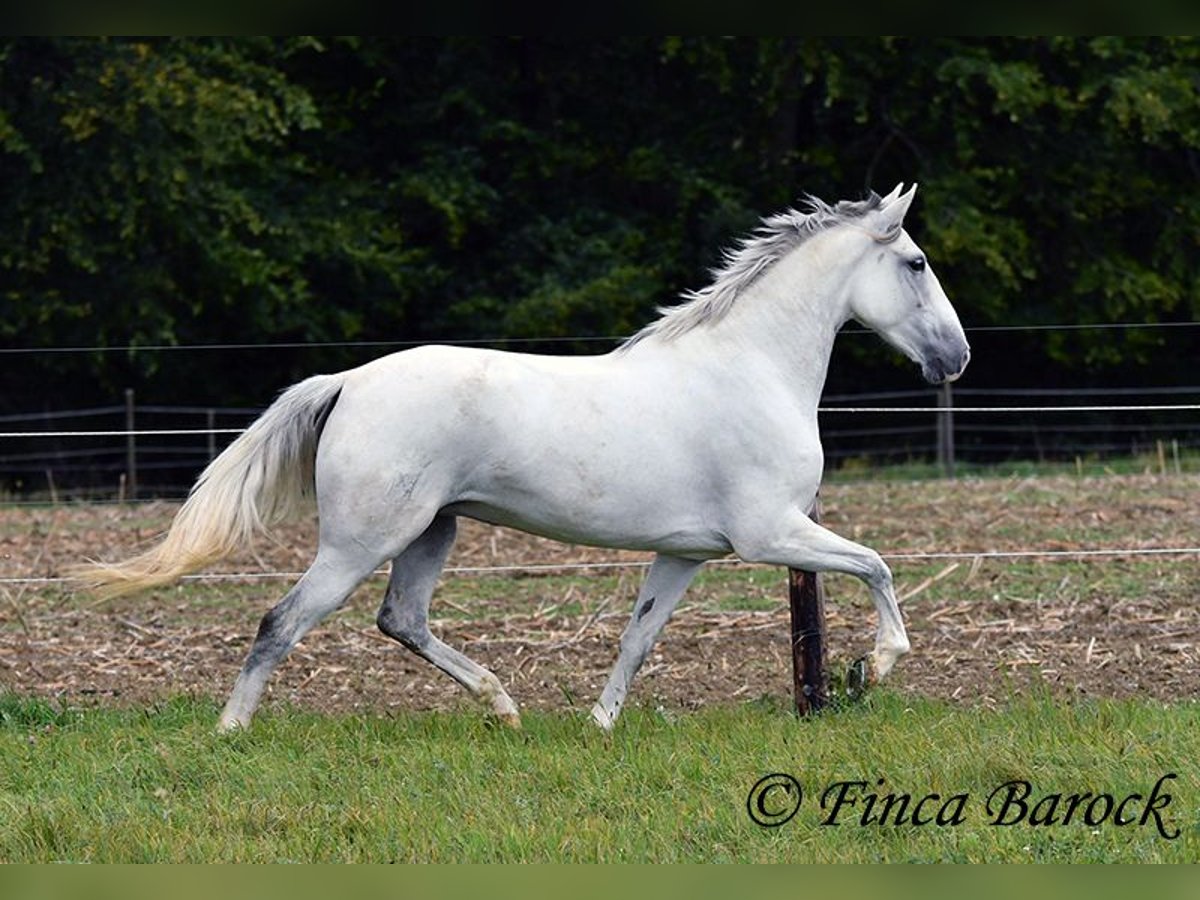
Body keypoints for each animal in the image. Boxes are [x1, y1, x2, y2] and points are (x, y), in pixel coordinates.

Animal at [75, 183, 964, 734]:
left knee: (401, 620)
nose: (956, 358)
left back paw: (503, 707)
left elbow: (639, 639)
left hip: (431, 533)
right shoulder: (772, 534)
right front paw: (874, 667)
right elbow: (878, 565)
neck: (751, 367)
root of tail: (349, 382)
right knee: (281, 622)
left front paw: (599, 726)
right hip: (362, 542)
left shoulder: (686, 553)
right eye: (916, 263)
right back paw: (231, 730)